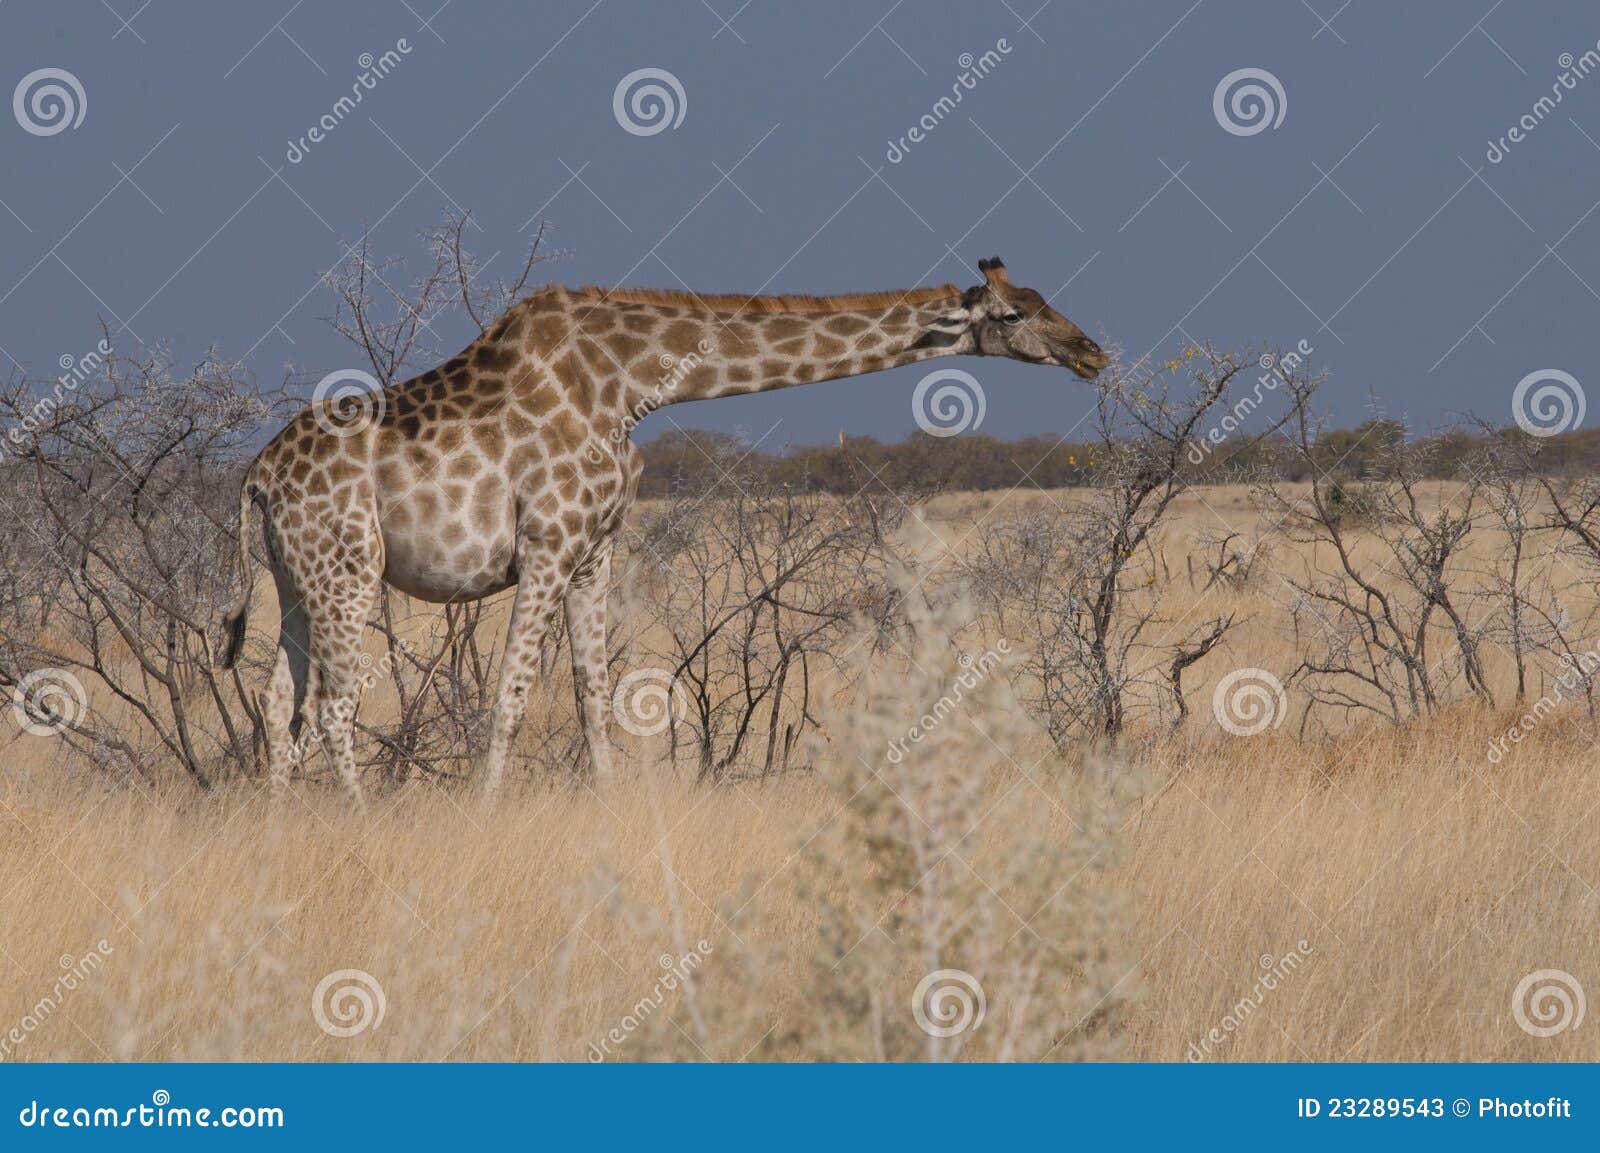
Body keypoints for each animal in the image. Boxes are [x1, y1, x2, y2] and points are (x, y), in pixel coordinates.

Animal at [217, 256, 1108, 805]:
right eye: (1018, 313)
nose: (1092, 351)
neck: (631, 382)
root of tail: (255, 477)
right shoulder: (547, 542)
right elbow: (510, 693)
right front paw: (486, 806)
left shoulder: (595, 547)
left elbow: (593, 692)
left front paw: (607, 807)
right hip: (348, 568)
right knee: (331, 703)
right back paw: (359, 818)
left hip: (295, 578)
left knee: (278, 700)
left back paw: (280, 824)